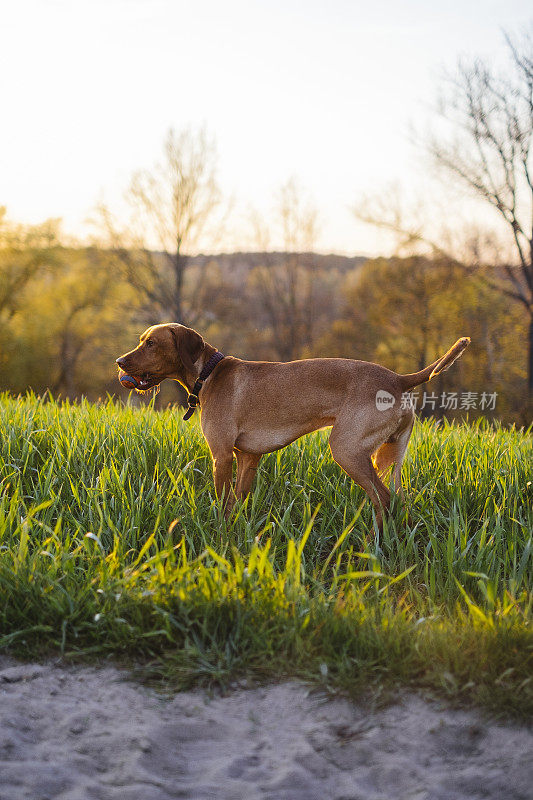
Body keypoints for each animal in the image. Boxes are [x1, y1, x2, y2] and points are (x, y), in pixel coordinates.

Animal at [116, 322, 470, 528]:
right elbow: (237, 503)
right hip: (388, 456)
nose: (119, 361)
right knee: (399, 500)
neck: (209, 372)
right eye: (141, 340)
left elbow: (222, 504)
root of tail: (397, 378)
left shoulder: (222, 456)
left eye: (151, 343)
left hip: (347, 450)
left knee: (383, 500)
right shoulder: (248, 458)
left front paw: (217, 537)